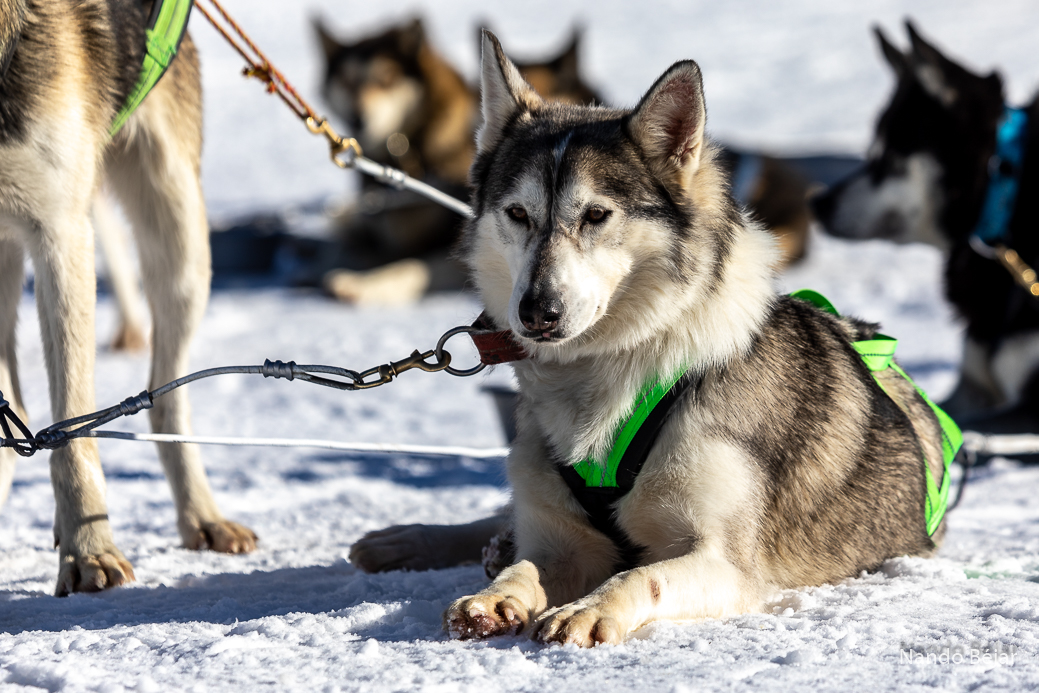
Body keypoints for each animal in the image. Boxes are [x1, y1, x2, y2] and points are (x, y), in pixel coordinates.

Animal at [0, 0, 256, 596]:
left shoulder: (60, 233)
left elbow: (71, 429)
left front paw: (88, 553)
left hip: (180, 240)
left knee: (166, 400)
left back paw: (202, 516)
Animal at [432, 31, 953, 646]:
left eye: (596, 215)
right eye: (517, 213)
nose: (537, 311)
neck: (615, 365)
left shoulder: (727, 563)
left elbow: (642, 575)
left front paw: (588, 608)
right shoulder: (562, 541)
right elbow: (529, 567)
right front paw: (499, 595)